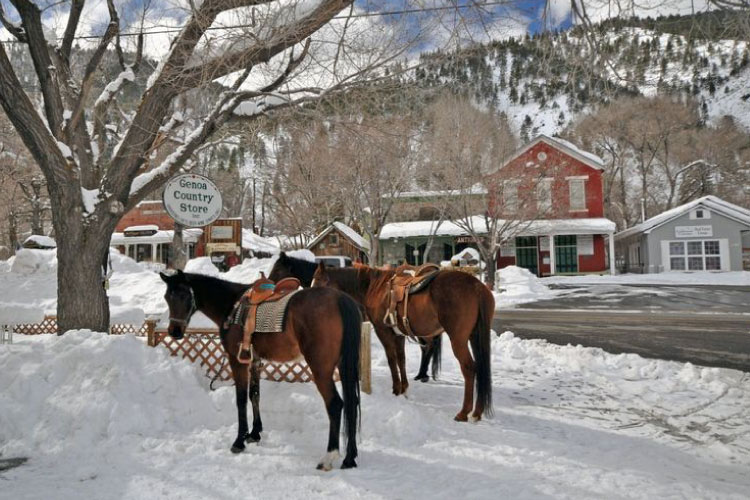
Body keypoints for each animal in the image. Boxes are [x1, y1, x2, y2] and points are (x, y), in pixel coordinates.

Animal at [160, 270, 362, 468]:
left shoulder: (237, 361)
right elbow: (254, 395)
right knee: (352, 403)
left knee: (335, 404)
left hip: (321, 369)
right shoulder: (254, 361)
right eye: (167, 297)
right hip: (343, 365)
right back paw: (350, 458)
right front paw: (254, 433)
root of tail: (340, 299)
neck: (231, 305)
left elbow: (241, 399)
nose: (174, 331)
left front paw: (239, 441)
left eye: (184, 295)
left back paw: (329, 456)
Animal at [268, 254, 494, 422]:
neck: (372, 287)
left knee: (469, 368)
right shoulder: (398, 333)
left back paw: (464, 412)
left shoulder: (382, 330)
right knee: (479, 366)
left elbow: (391, 359)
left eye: (278, 269)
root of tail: (476, 286)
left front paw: (396, 389)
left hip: (458, 339)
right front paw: (404, 389)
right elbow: (401, 359)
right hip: (474, 336)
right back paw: (477, 411)